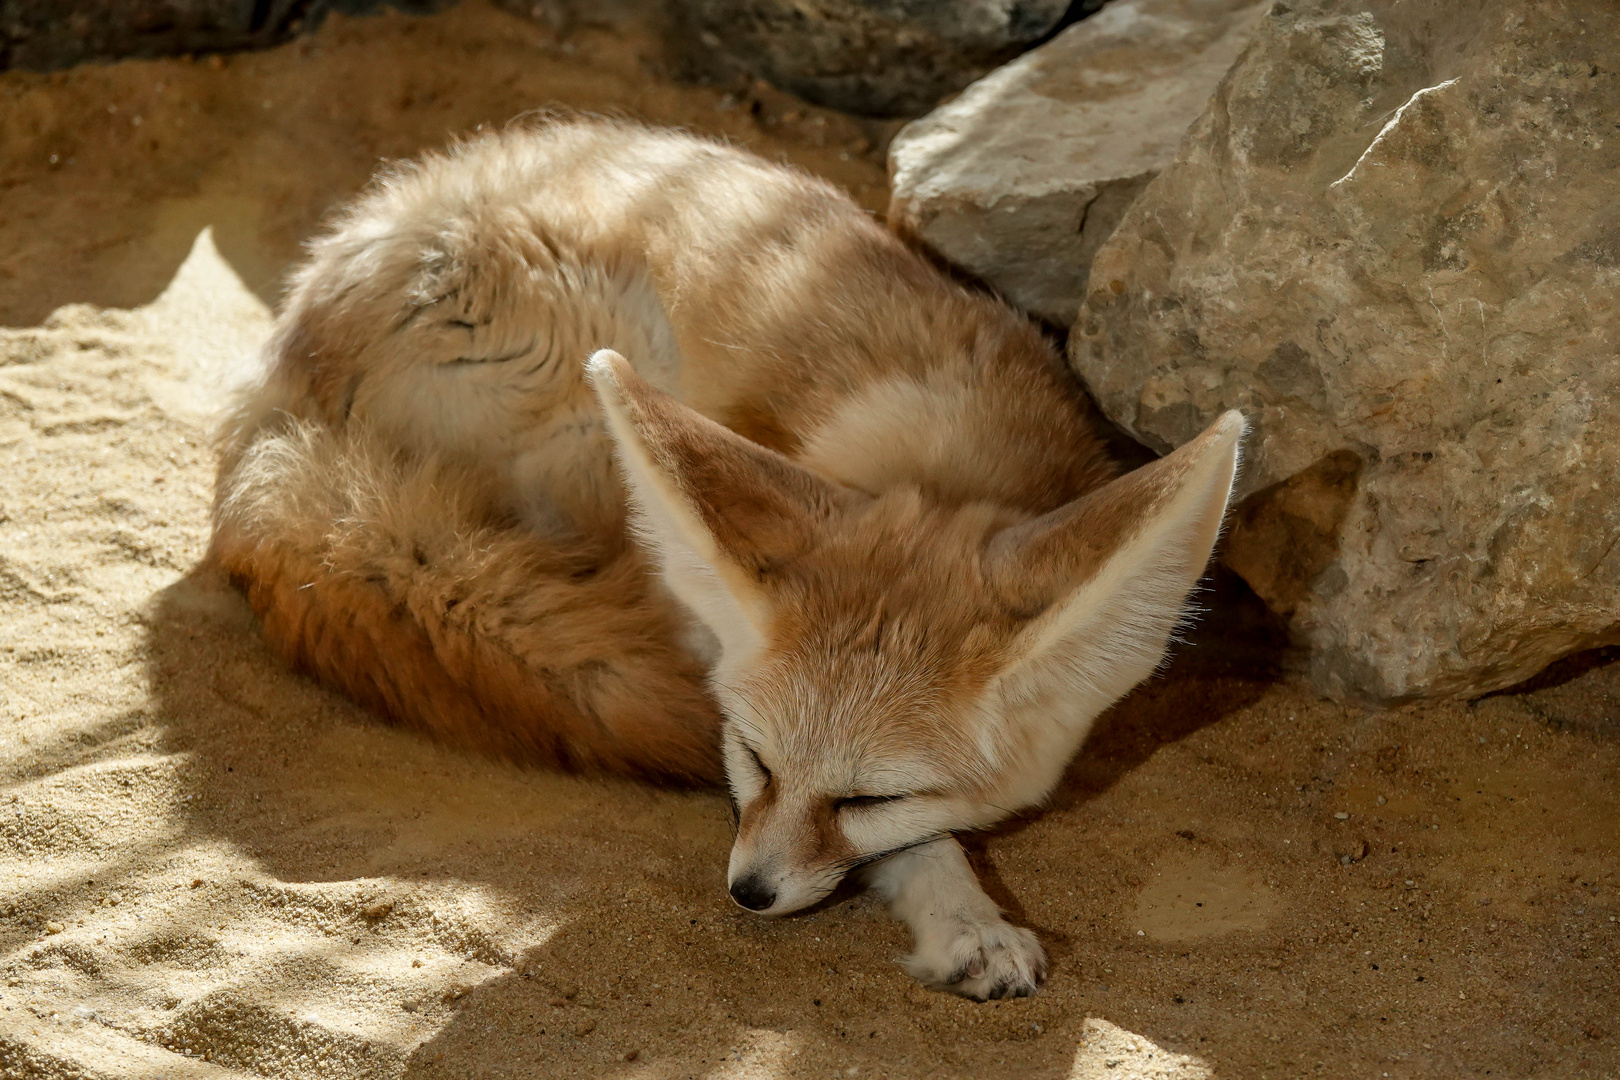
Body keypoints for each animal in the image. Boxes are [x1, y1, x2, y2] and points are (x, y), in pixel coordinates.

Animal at [205, 116, 1237, 997]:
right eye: (752, 757)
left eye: (870, 795)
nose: (748, 892)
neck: (953, 458)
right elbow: (921, 845)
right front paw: (963, 915)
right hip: (609, 390)